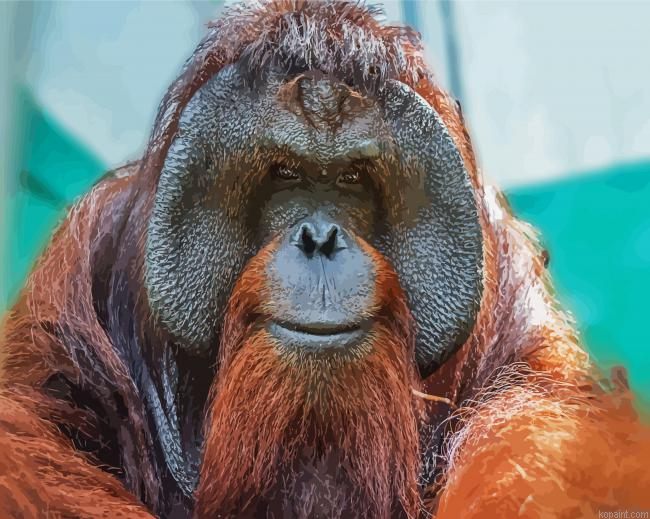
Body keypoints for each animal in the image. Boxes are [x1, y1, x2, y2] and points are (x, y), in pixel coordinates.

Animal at [1, 1, 649, 518]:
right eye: (287, 174)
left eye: (351, 180)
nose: (319, 236)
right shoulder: (78, 267)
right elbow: (29, 432)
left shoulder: (512, 290)